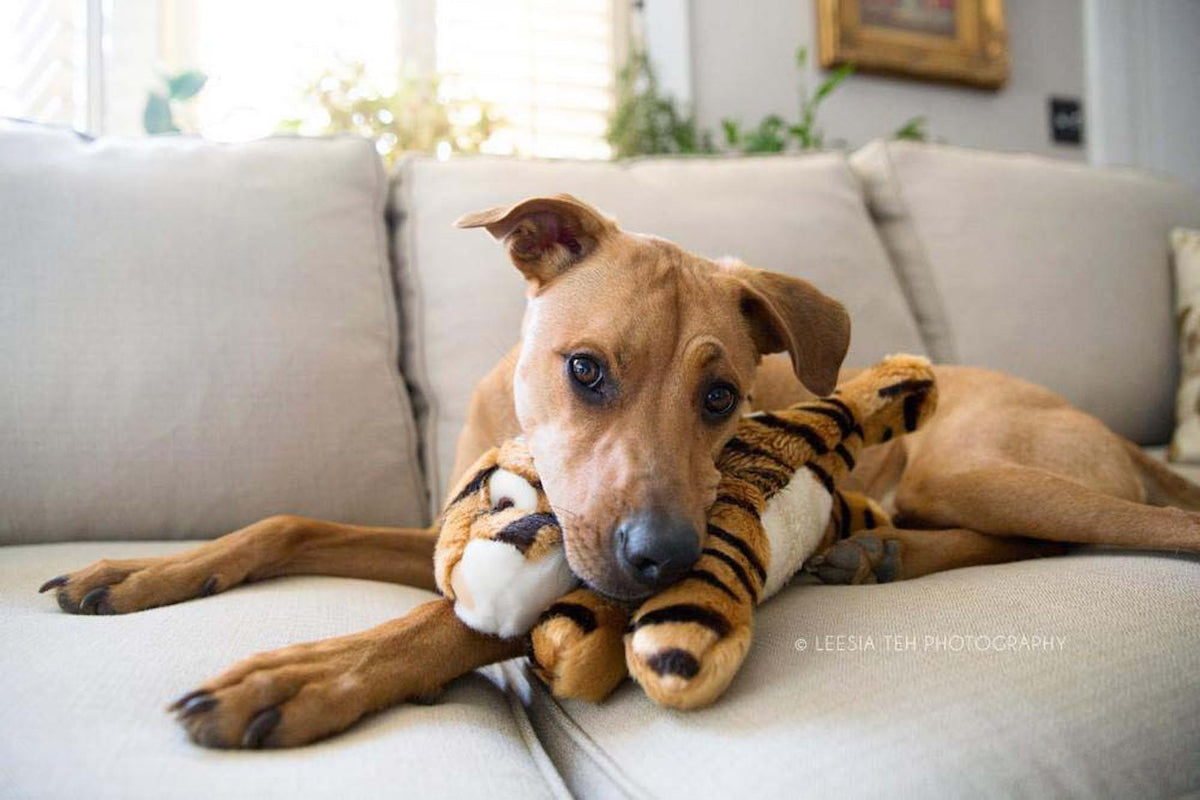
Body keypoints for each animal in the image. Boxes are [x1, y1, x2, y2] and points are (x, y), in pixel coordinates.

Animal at [42, 195, 1200, 753]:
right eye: (585, 368)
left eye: (724, 397)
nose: (665, 561)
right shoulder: (439, 534)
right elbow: (287, 523)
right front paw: (134, 573)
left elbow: (447, 625)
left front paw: (302, 676)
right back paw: (878, 551)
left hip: (980, 467)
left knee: (1115, 529)